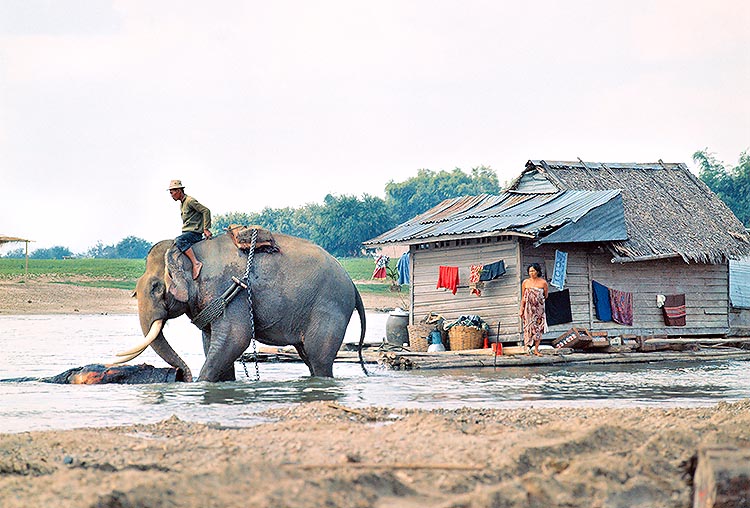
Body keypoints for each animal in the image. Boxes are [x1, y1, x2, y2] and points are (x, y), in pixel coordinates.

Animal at [114, 232, 368, 382]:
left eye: (156, 287)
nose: (182, 376)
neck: (191, 252)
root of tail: (352, 285)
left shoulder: (230, 288)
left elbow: (235, 338)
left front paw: (201, 383)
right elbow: (212, 343)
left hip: (329, 307)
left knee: (319, 357)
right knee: (308, 355)